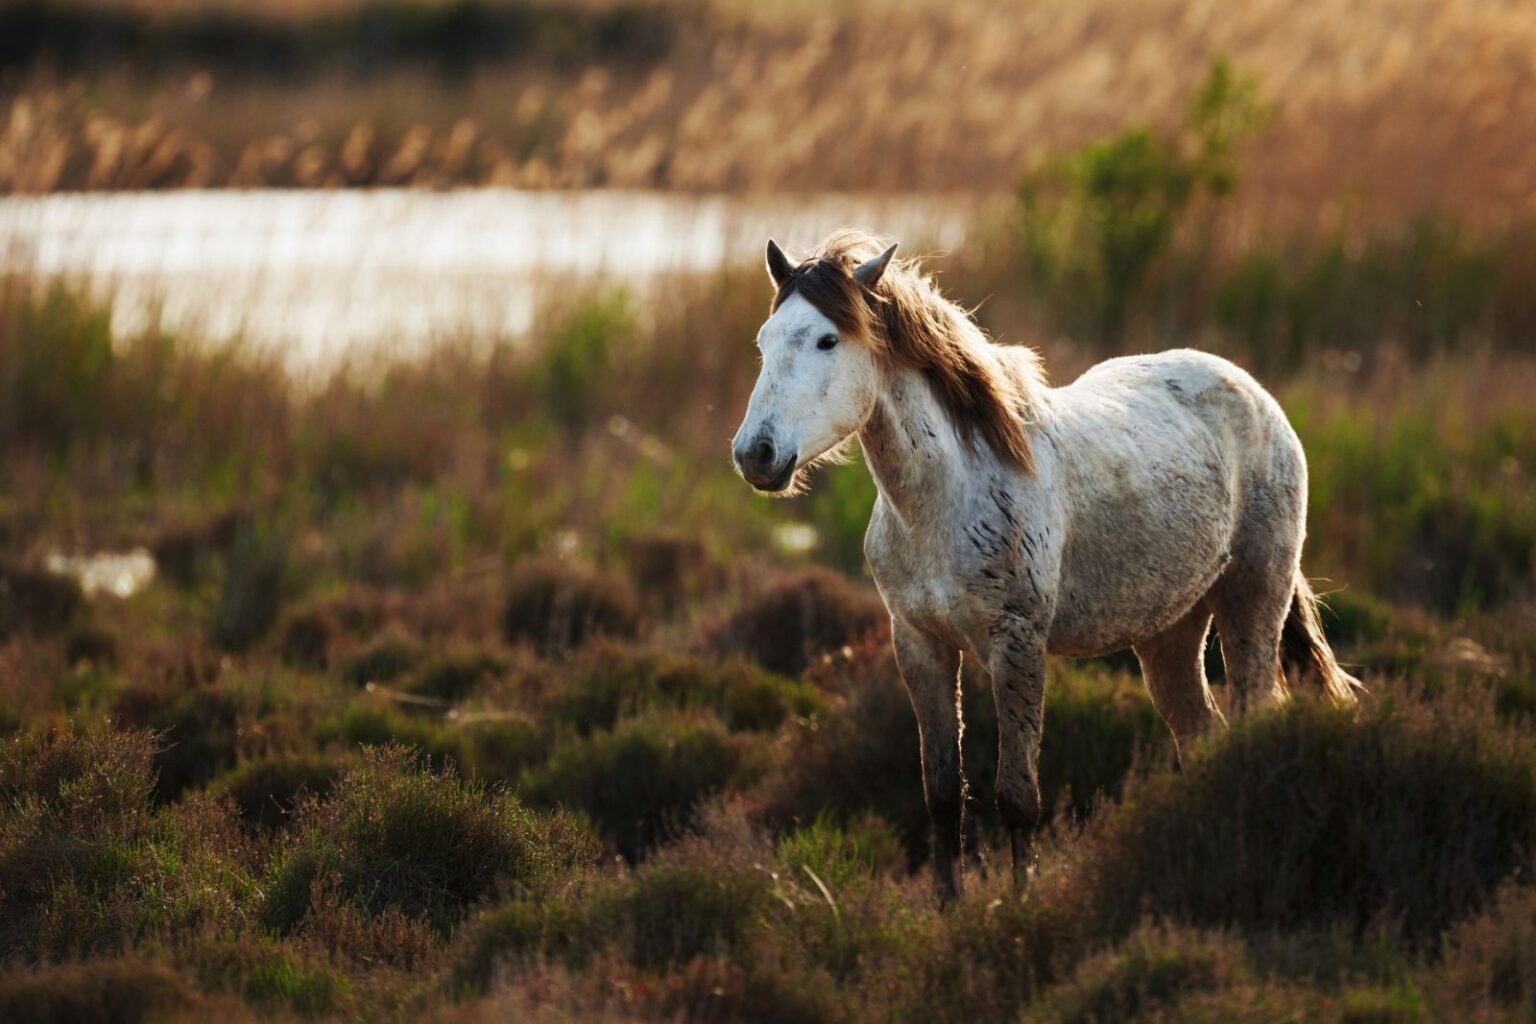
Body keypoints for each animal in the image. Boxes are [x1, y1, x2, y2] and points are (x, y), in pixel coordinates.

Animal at [737, 230, 1363, 896]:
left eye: (828, 340)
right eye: (764, 341)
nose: (756, 454)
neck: (949, 493)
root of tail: (1255, 393)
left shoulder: (1018, 642)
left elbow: (1017, 797)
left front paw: (1018, 905)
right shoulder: (920, 644)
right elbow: (943, 798)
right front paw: (947, 906)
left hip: (1254, 602)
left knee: (1254, 717)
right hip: (1170, 632)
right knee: (1201, 733)